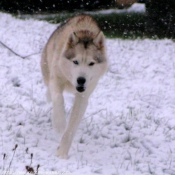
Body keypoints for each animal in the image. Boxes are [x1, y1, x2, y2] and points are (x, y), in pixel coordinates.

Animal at [40, 14, 107, 159]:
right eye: (75, 61)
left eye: (91, 63)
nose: (81, 80)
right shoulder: (56, 80)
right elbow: (58, 99)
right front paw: (59, 124)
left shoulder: (83, 98)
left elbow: (71, 128)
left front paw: (62, 154)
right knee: (49, 88)